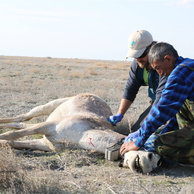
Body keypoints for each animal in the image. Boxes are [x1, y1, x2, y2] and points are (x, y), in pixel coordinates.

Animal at [0, 93, 161, 174]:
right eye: (151, 154)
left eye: (158, 164)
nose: (146, 168)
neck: (82, 136)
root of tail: (96, 96)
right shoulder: (48, 126)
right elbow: (11, 135)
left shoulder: (47, 144)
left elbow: (13, 142)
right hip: (46, 108)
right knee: (22, 118)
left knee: (20, 123)